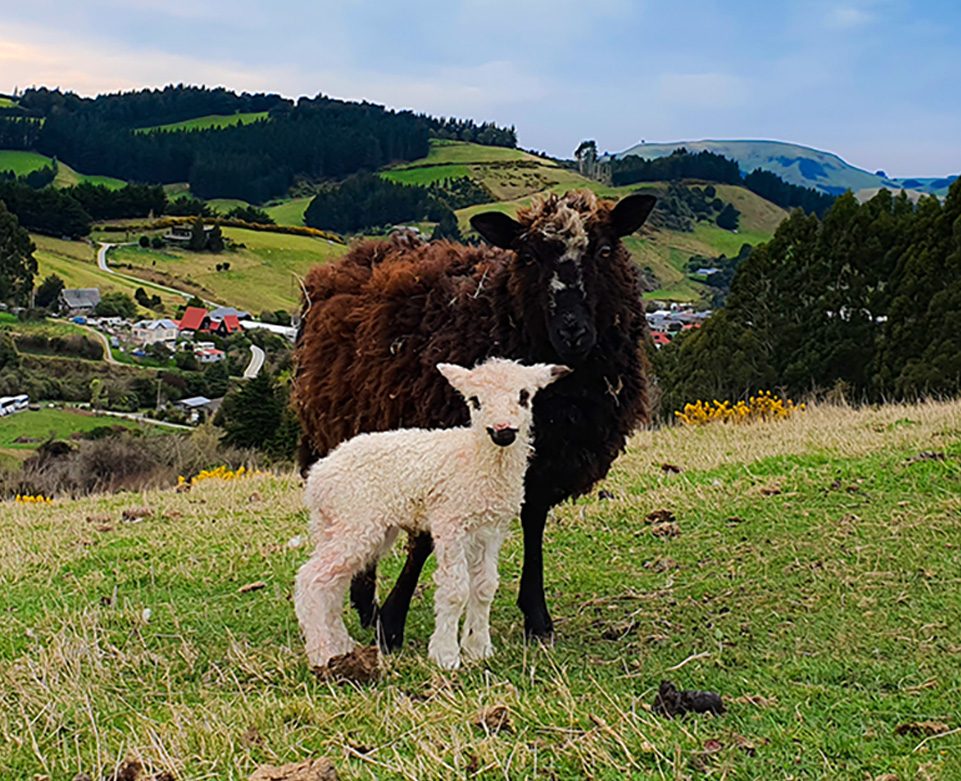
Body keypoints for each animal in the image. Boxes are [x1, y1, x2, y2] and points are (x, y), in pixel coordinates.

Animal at [296, 356, 568, 668]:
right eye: (475, 400)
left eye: (524, 396)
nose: (503, 431)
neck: (478, 458)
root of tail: (318, 478)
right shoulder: (450, 523)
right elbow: (455, 590)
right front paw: (446, 655)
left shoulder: (490, 530)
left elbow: (485, 587)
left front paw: (478, 648)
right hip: (355, 521)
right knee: (311, 578)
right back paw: (321, 653)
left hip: (340, 525)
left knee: (333, 583)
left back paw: (341, 646)